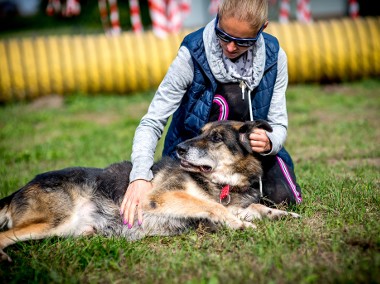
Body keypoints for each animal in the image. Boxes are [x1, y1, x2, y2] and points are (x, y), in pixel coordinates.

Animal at [1, 120, 302, 262]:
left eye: (216, 138)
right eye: (200, 132)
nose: (180, 148)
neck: (223, 183)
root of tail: (20, 188)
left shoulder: (240, 203)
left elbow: (258, 207)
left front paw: (281, 215)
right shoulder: (162, 197)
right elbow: (213, 206)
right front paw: (239, 225)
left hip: (69, 230)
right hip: (54, 220)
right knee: (5, 235)